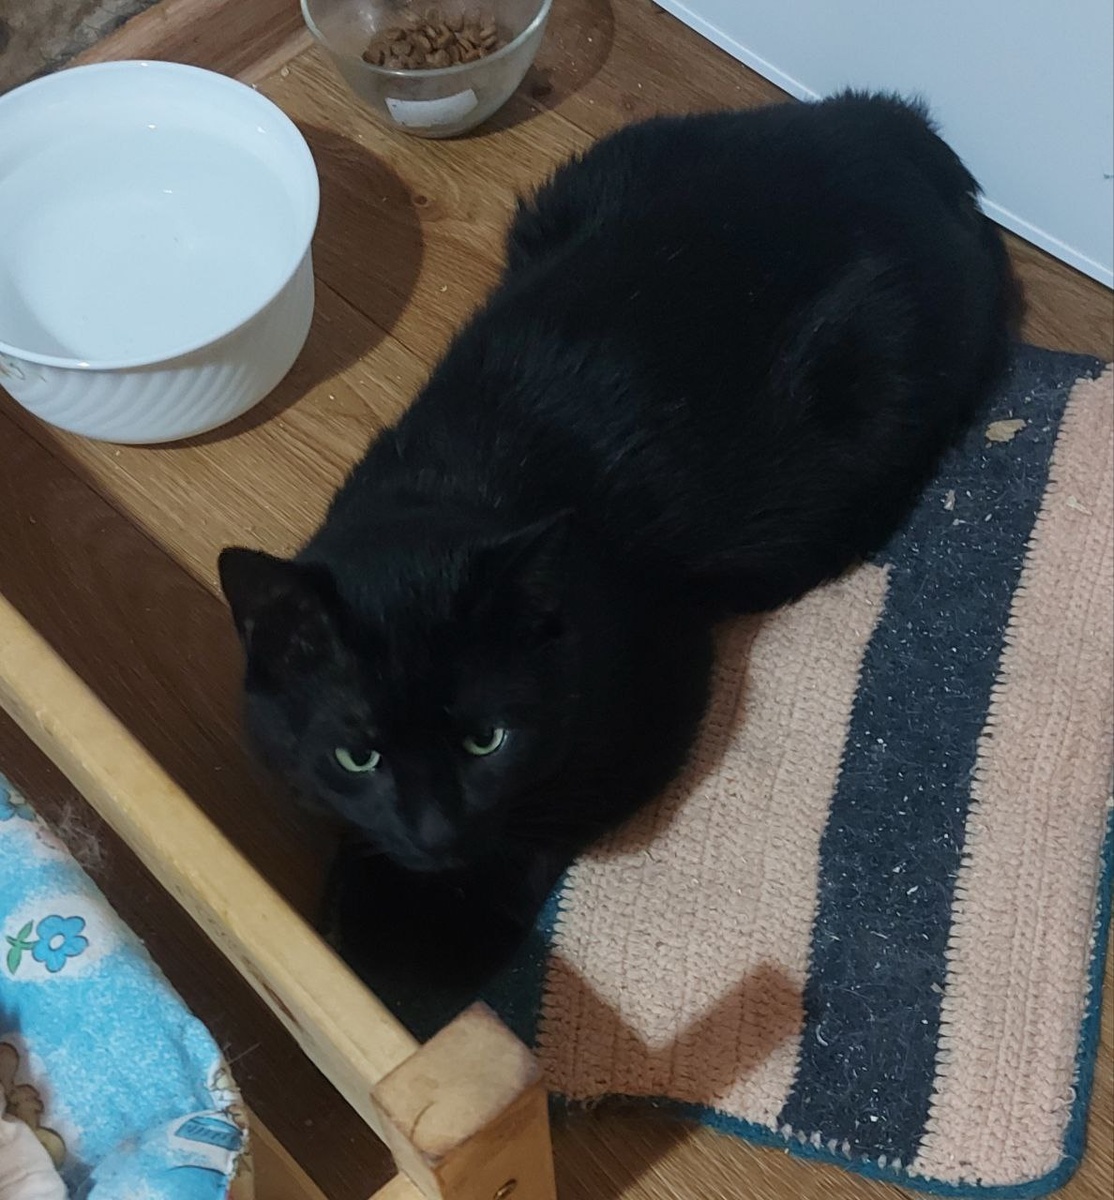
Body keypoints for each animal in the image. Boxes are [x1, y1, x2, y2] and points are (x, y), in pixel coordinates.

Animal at [219, 92, 1019, 1011]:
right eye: (357, 754)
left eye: (487, 740)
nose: (435, 829)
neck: (460, 487)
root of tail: (880, 123)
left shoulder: (661, 686)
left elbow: (547, 814)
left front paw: (420, 953)